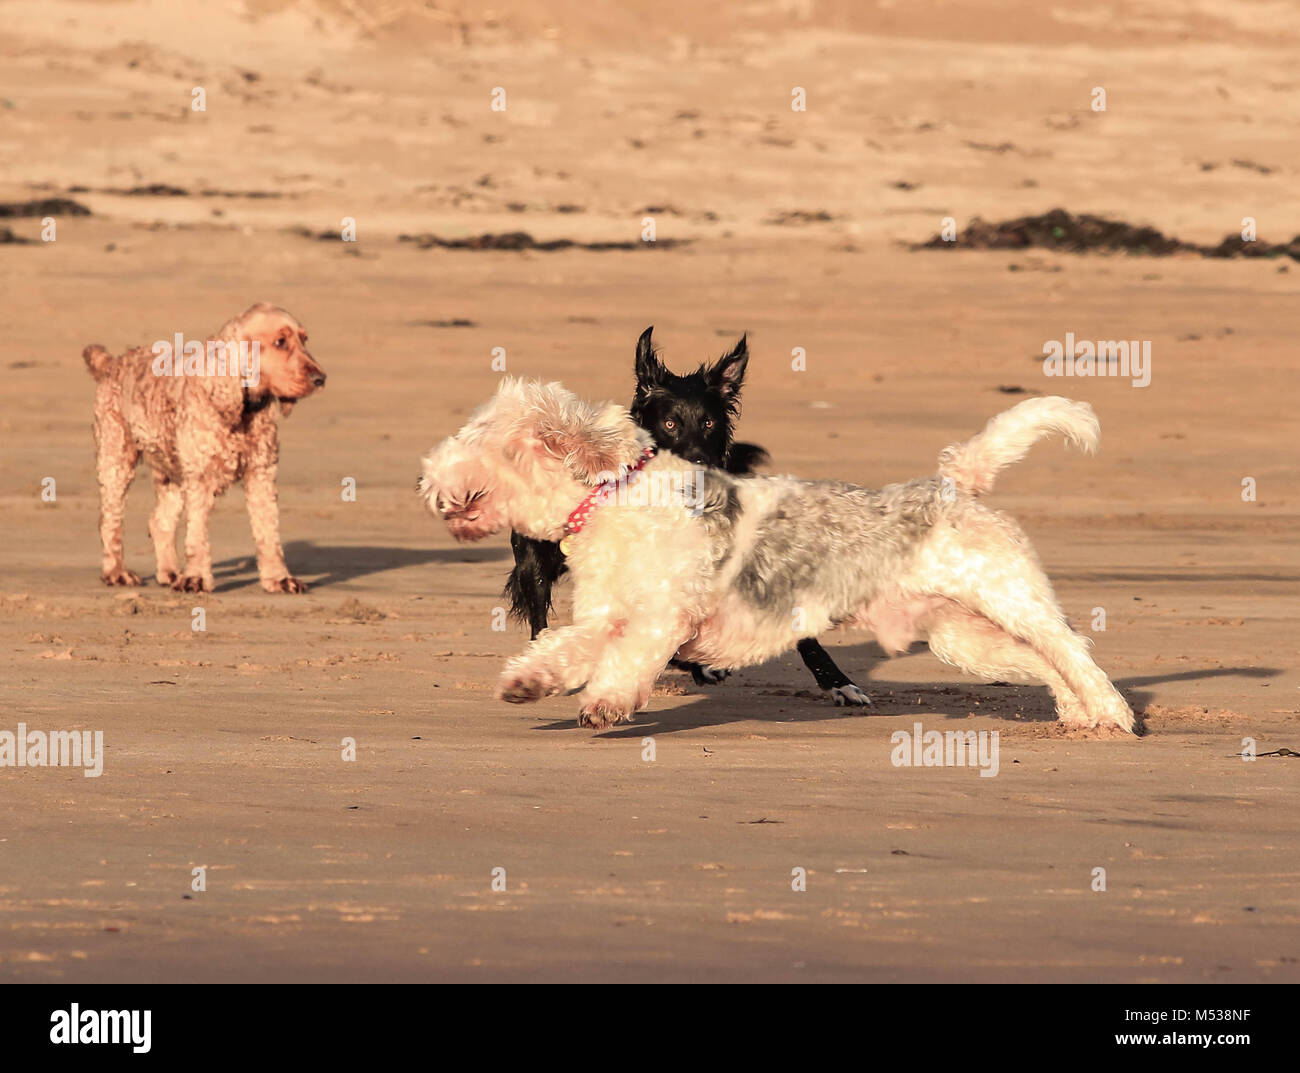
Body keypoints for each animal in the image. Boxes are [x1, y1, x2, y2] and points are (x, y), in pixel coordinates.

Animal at [421, 374, 1133, 728]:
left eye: (484, 441)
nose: (426, 477)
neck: (619, 500)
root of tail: (953, 483)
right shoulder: (606, 617)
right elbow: (562, 648)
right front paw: (527, 682)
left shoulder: (661, 618)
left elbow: (624, 667)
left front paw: (605, 704)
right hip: (963, 637)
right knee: (1044, 664)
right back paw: (1077, 715)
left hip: (1014, 599)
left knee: (1074, 650)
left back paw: (1114, 715)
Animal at [501, 326, 868, 702]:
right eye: (670, 423)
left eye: (708, 422)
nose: (698, 468)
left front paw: (837, 680)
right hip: (534, 561)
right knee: (539, 613)